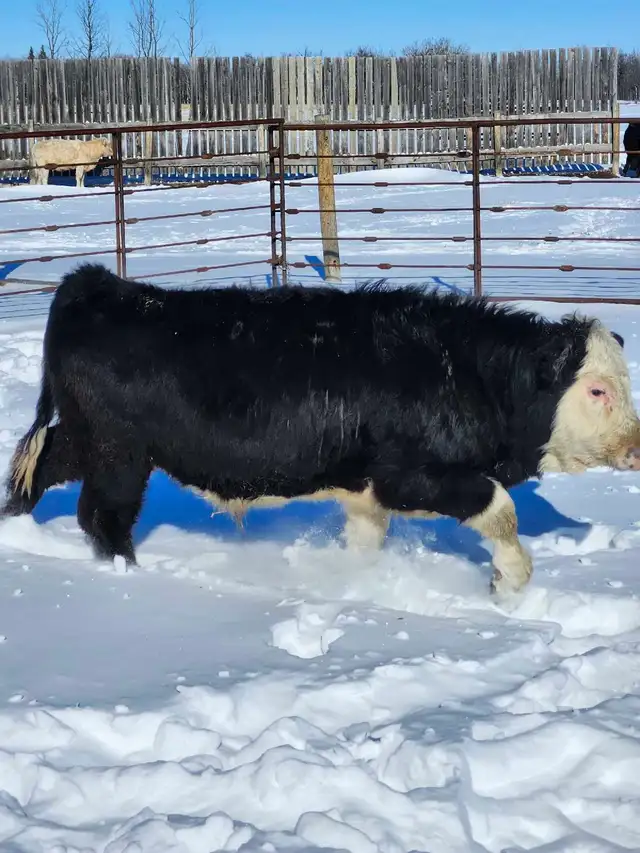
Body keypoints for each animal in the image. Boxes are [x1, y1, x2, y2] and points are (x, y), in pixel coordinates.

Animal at [3, 263, 640, 598]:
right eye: (597, 390)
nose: (636, 448)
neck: (459, 368)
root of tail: (101, 285)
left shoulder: (364, 495)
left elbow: (364, 545)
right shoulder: (406, 477)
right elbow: (500, 509)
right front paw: (509, 583)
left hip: (87, 440)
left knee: (38, 468)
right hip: (120, 453)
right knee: (103, 516)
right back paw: (130, 578)